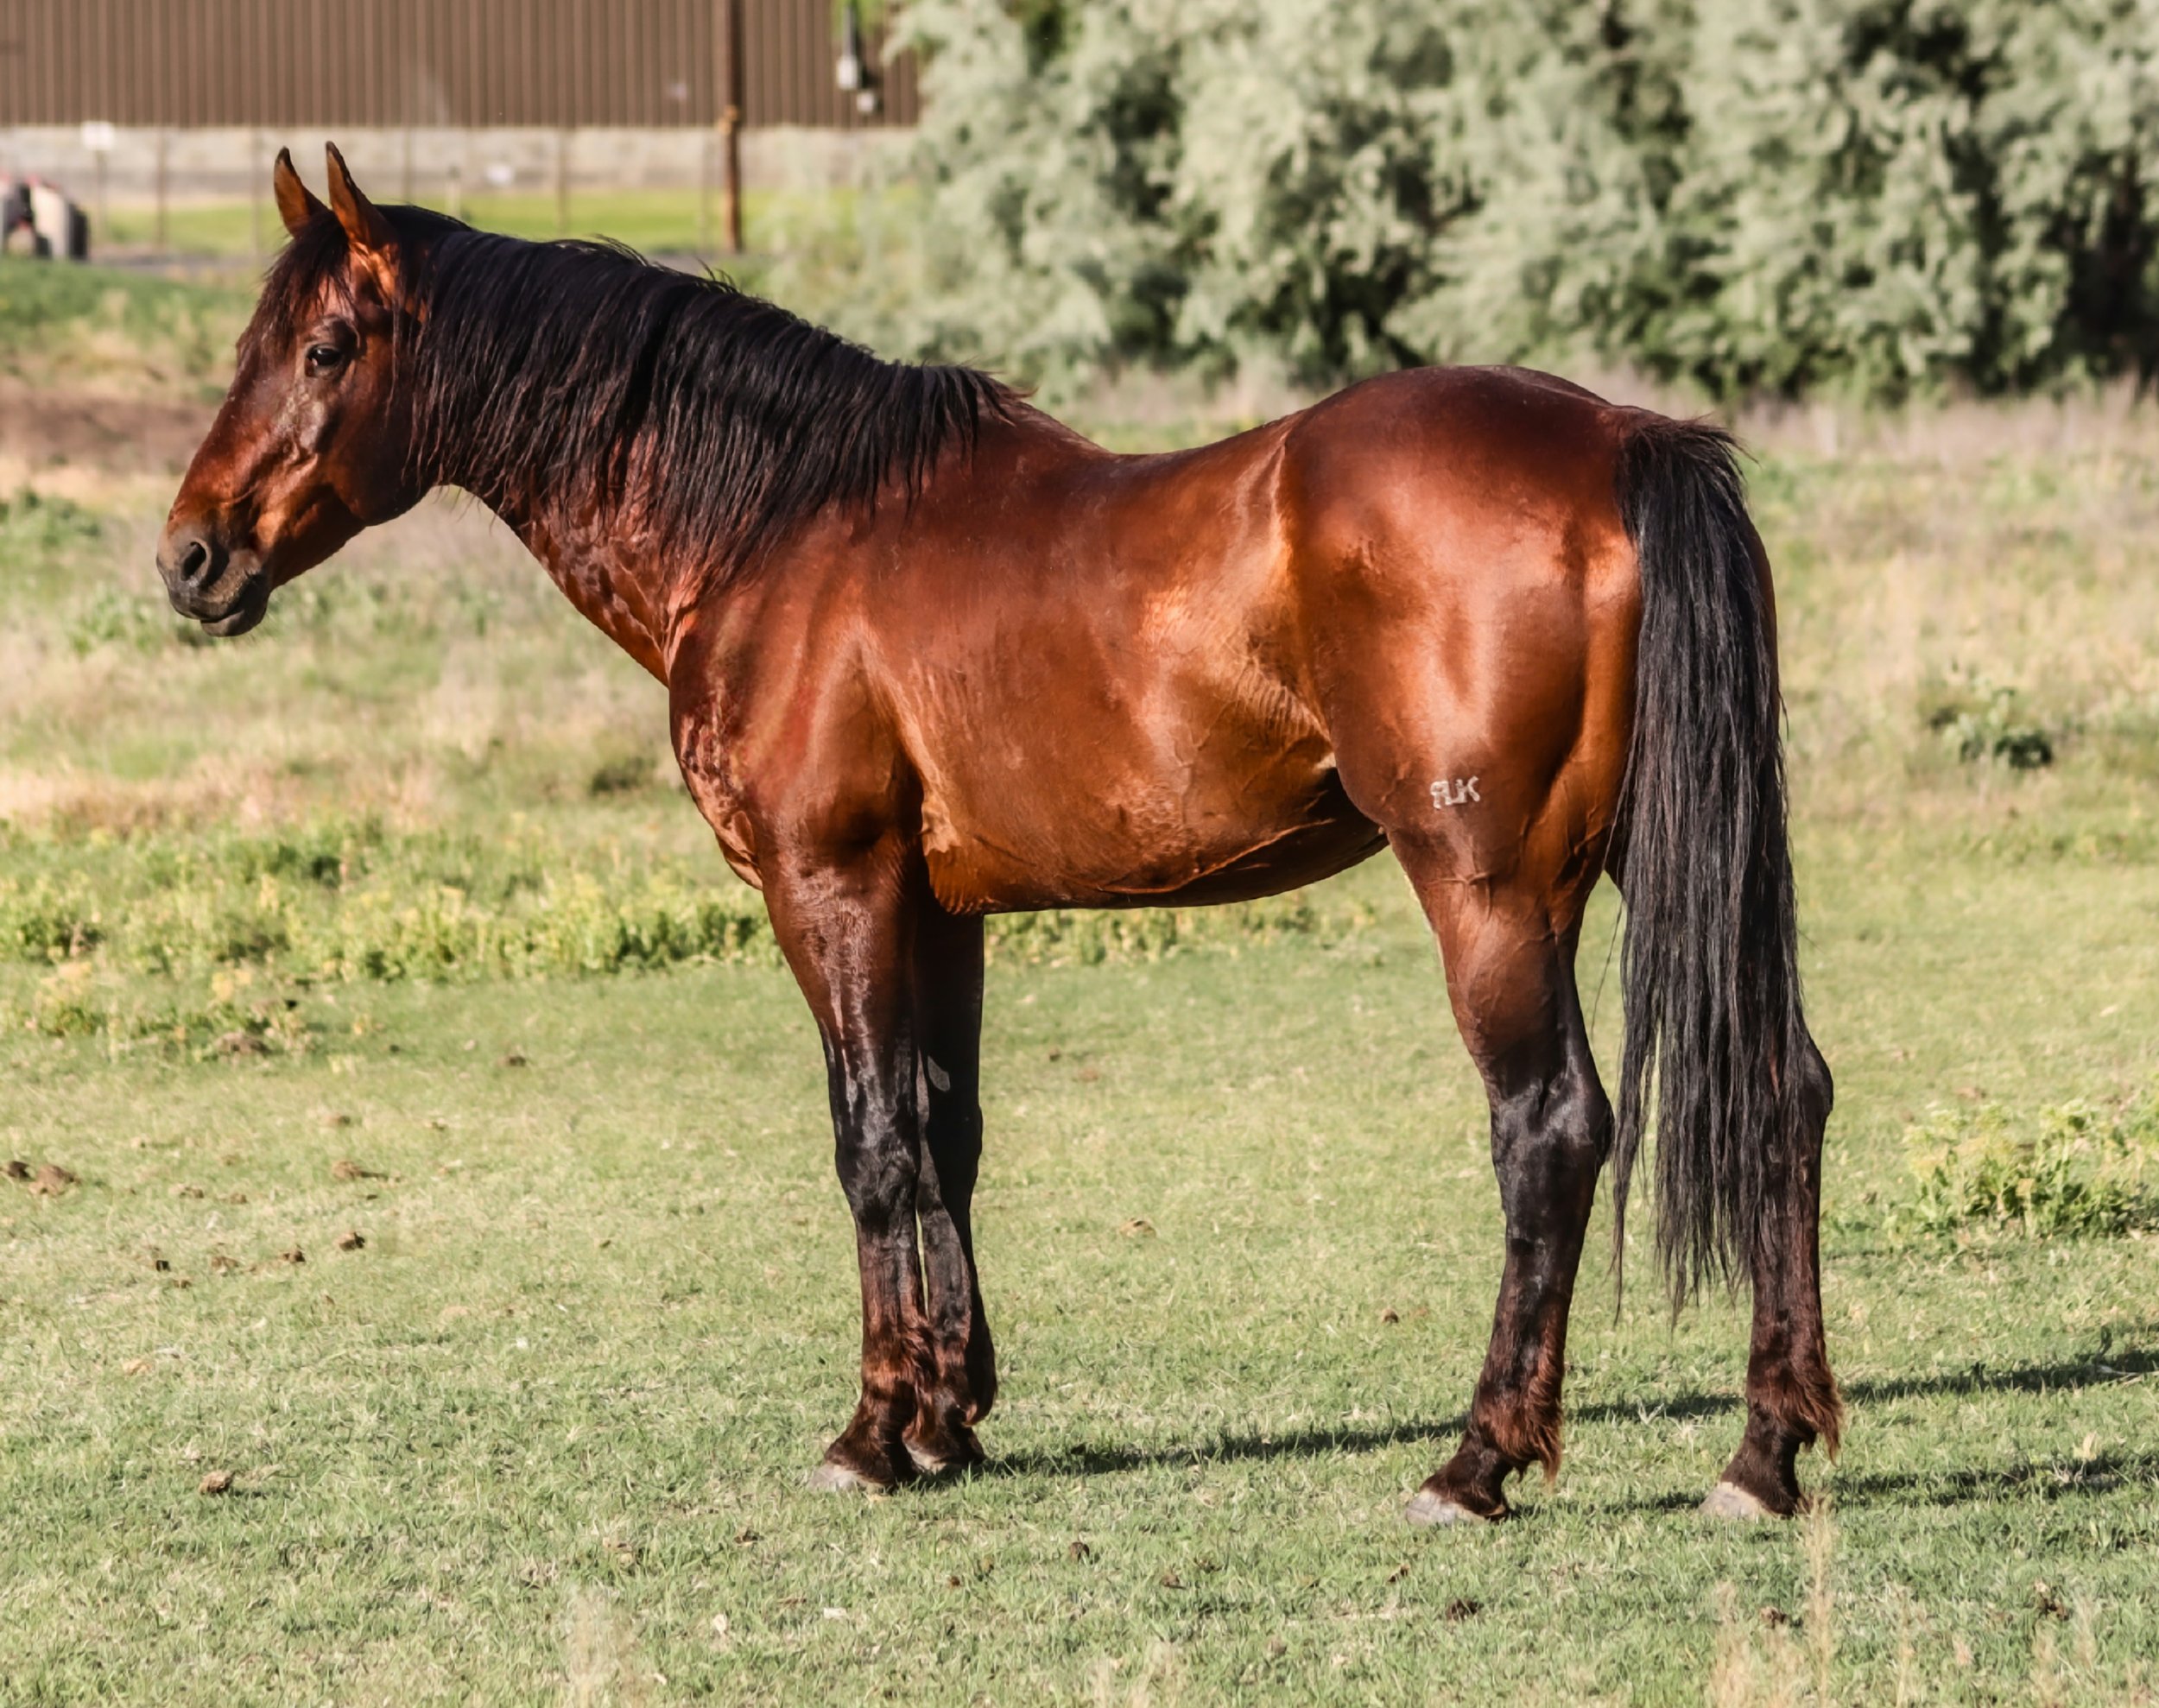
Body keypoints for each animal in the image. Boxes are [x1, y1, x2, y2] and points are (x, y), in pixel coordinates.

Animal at [158, 146, 1840, 1525]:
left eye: (323, 347)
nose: (189, 556)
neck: (783, 526)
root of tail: (1617, 440)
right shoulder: (938, 906)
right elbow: (945, 1130)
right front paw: (950, 1415)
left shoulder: (828, 885)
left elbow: (872, 1141)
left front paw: (872, 1431)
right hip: (1654, 865)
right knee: (1780, 1090)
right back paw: (1765, 1451)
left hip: (1490, 890)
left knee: (1549, 1124)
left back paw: (1478, 1459)